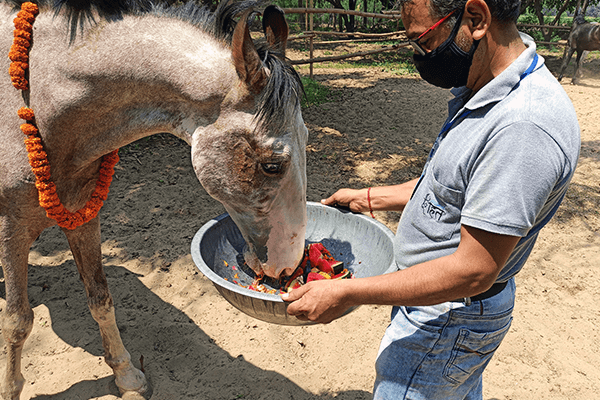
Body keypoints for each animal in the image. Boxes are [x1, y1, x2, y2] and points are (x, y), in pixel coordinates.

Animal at [1, 0, 310, 396]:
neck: (40, 100)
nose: (290, 264)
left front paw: (127, 375)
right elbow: (17, 321)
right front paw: (10, 389)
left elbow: (100, 299)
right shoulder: (12, 228)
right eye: (272, 165)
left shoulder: (83, 215)